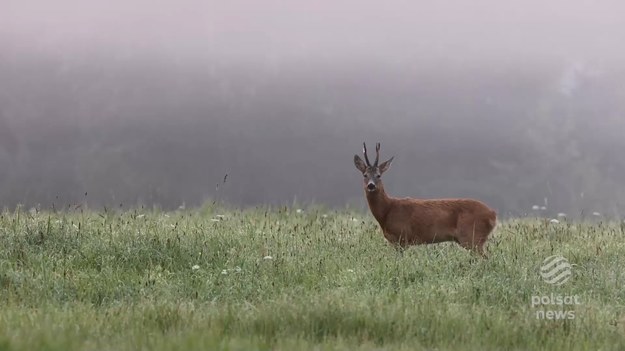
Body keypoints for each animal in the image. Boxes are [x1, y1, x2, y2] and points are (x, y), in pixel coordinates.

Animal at [354, 142, 494, 258]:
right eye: (365, 175)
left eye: (379, 175)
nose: (371, 185)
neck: (388, 210)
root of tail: (493, 215)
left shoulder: (402, 237)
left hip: (472, 236)